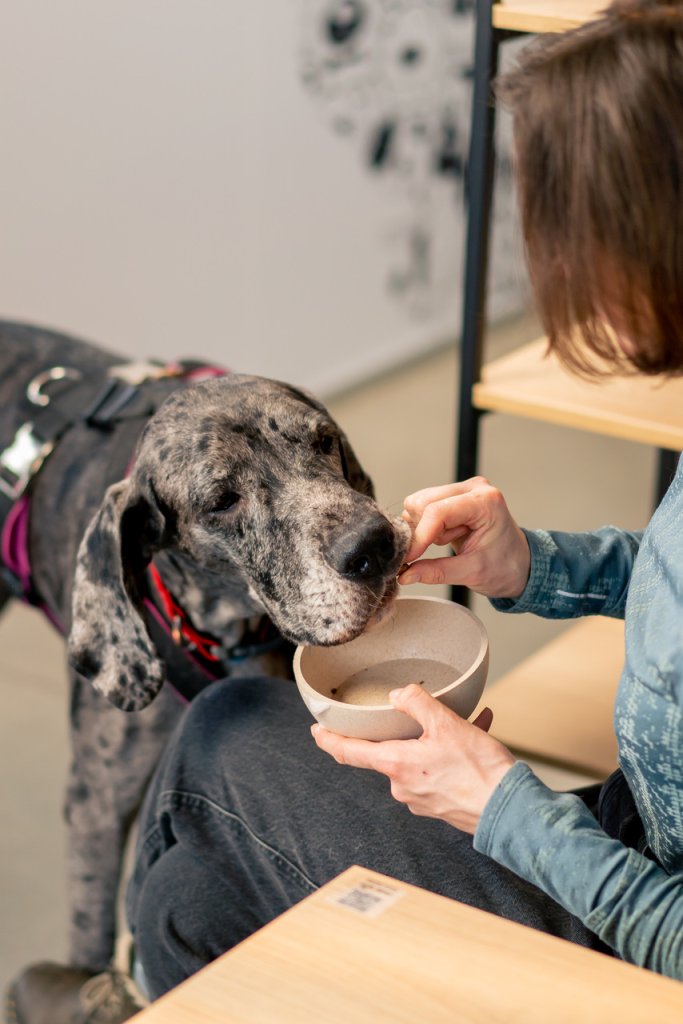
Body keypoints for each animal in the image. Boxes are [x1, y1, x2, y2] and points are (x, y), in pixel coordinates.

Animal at [0, 319, 409, 991]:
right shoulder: (95, 806)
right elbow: (90, 935)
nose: (372, 546)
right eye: (221, 500)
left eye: (323, 441)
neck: (231, 627)